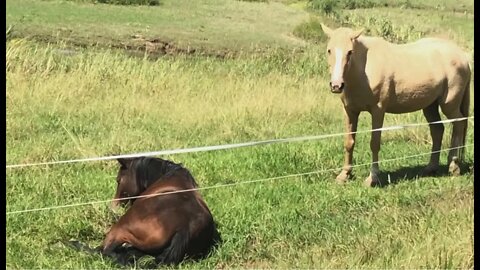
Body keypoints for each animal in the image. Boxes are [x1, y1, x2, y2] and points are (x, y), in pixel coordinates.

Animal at [320, 23, 470, 186]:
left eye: (350, 52)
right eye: (329, 50)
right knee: (437, 130)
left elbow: (374, 143)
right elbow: (349, 142)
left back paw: (453, 166)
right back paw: (431, 167)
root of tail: (463, 57)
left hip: (449, 104)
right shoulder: (350, 111)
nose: (336, 85)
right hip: (430, 106)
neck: (363, 70)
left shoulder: (378, 110)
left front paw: (372, 178)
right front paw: (344, 175)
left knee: (459, 123)